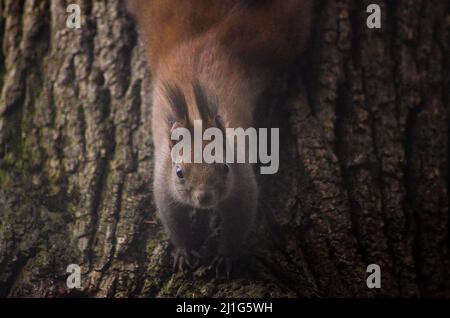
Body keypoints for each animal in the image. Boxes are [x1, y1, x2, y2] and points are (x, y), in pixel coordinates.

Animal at [125, 0, 312, 276]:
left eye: (225, 167)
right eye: (179, 172)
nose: (204, 198)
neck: (196, 116)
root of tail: (204, 35)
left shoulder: (242, 182)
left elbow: (239, 222)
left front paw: (225, 257)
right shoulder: (164, 182)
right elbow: (173, 219)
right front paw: (184, 251)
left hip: (283, 35)